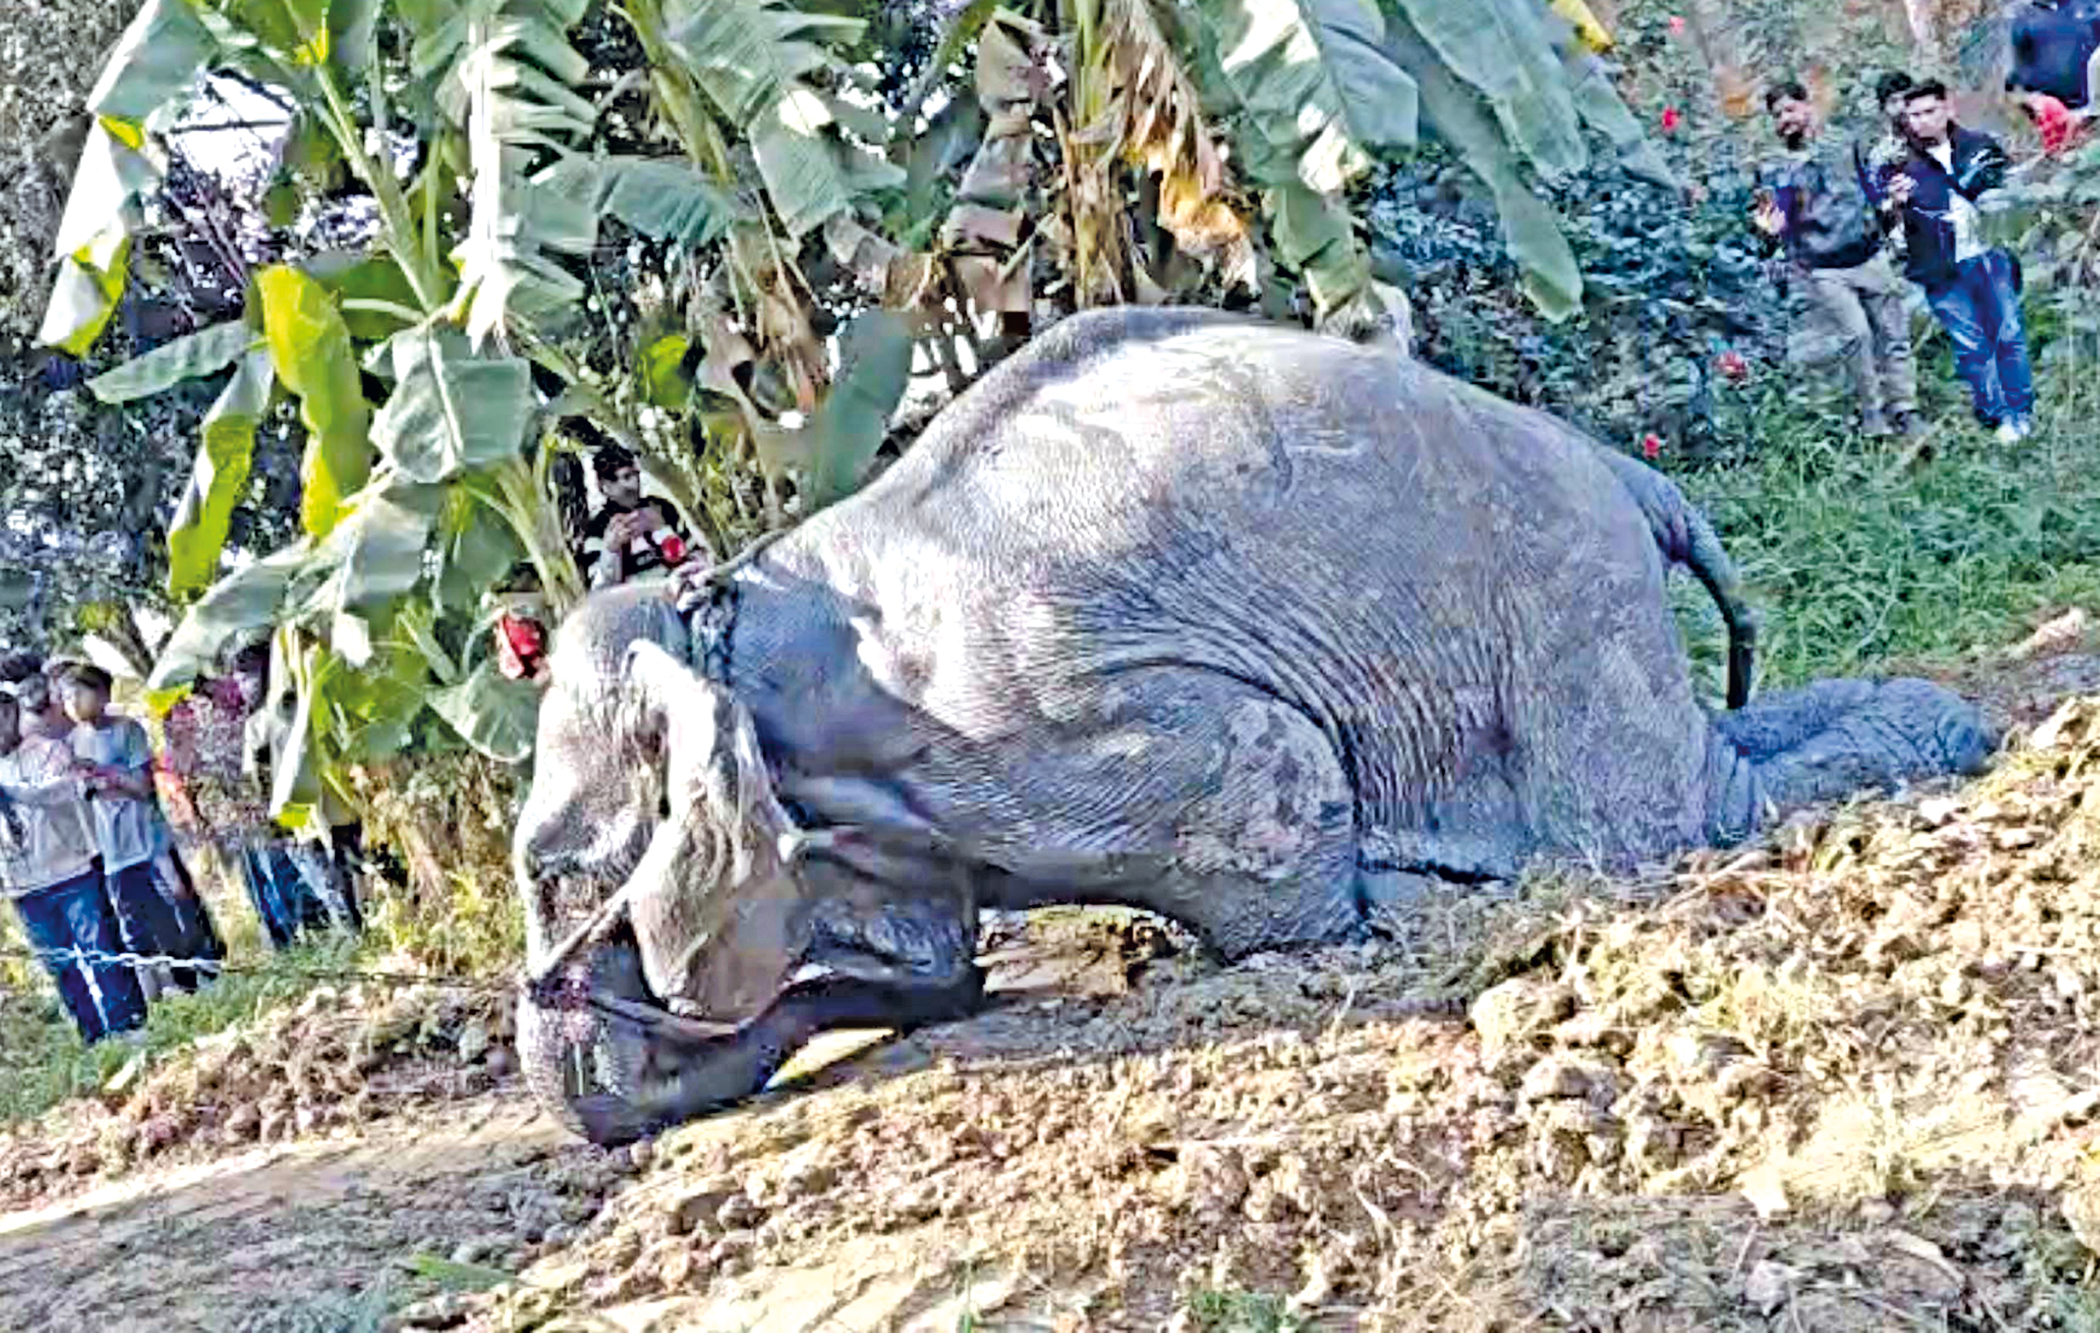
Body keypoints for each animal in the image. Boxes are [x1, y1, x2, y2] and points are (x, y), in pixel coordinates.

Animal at [511, 306, 1993, 1146]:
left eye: (548, 874)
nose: (566, 1002)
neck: (745, 599)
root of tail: (1635, 477)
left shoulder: (1020, 728)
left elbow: (1263, 783)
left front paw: (1365, 915)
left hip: (1563, 593)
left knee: (1654, 822)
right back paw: (1943, 727)